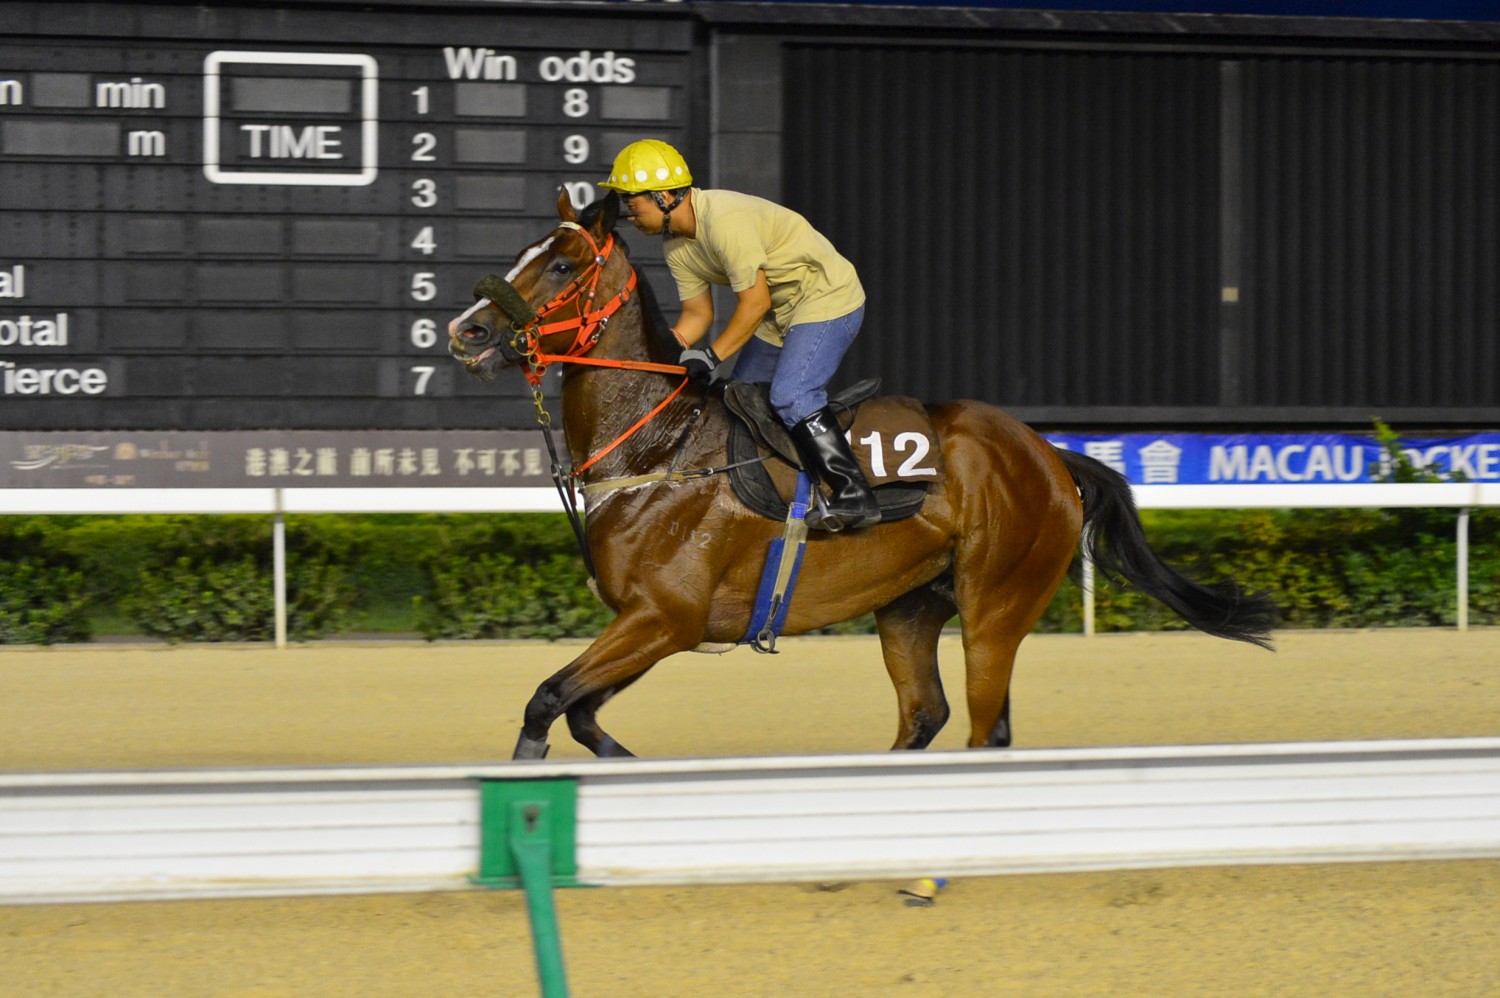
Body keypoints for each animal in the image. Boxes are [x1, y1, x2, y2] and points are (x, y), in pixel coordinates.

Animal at [447, 190, 1278, 759]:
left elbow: (547, 700)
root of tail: (1047, 454)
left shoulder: (665, 617)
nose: (467, 330)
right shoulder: (650, 621)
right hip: (910, 605)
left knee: (985, 728)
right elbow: (581, 711)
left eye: (561, 263)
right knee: (925, 714)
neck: (657, 448)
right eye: (525, 252)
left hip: (996, 603)